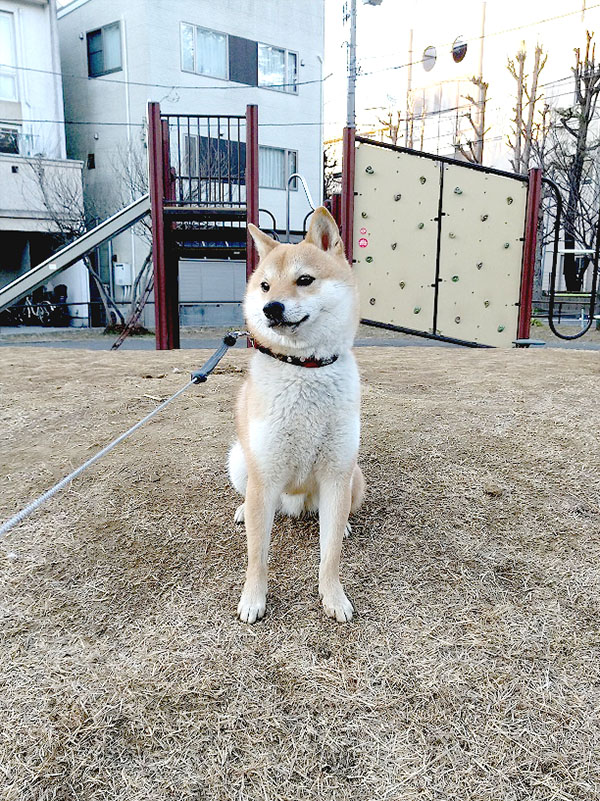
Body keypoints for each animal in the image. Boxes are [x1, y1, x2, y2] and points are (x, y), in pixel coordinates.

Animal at [227, 206, 364, 624]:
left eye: (304, 280)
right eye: (265, 287)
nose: (271, 308)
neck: (305, 368)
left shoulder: (336, 474)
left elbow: (330, 554)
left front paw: (332, 596)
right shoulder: (265, 474)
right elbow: (257, 555)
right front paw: (253, 599)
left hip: (354, 477)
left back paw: (345, 524)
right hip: (240, 461)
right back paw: (243, 510)